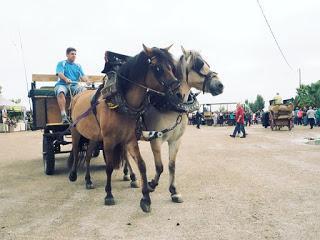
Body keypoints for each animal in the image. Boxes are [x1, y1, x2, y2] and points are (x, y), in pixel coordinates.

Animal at [69, 44, 179, 212]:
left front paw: (145, 198)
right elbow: (109, 167)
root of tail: (77, 95)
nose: (177, 86)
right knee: (75, 151)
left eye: (170, 66)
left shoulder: (130, 139)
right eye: (157, 68)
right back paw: (73, 174)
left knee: (87, 156)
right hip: (76, 131)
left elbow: (142, 165)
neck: (120, 100)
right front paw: (108, 194)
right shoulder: (108, 140)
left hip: (94, 137)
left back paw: (88, 180)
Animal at [124, 46, 224, 202]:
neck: (171, 105)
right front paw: (152, 184)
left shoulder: (176, 140)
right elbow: (159, 166)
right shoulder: (156, 140)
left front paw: (174, 191)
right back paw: (133, 177)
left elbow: (172, 165)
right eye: (198, 65)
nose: (220, 85)